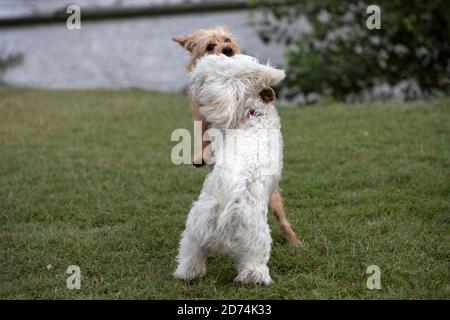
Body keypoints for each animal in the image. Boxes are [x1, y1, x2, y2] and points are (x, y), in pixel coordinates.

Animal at [175, 54, 284, 284]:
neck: (255, 115)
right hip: (254, 241)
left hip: (194, 232)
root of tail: (228, 204)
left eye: (205, 78)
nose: (192, 83)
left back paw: (186, 273)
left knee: (191, 257)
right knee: (252, 268)